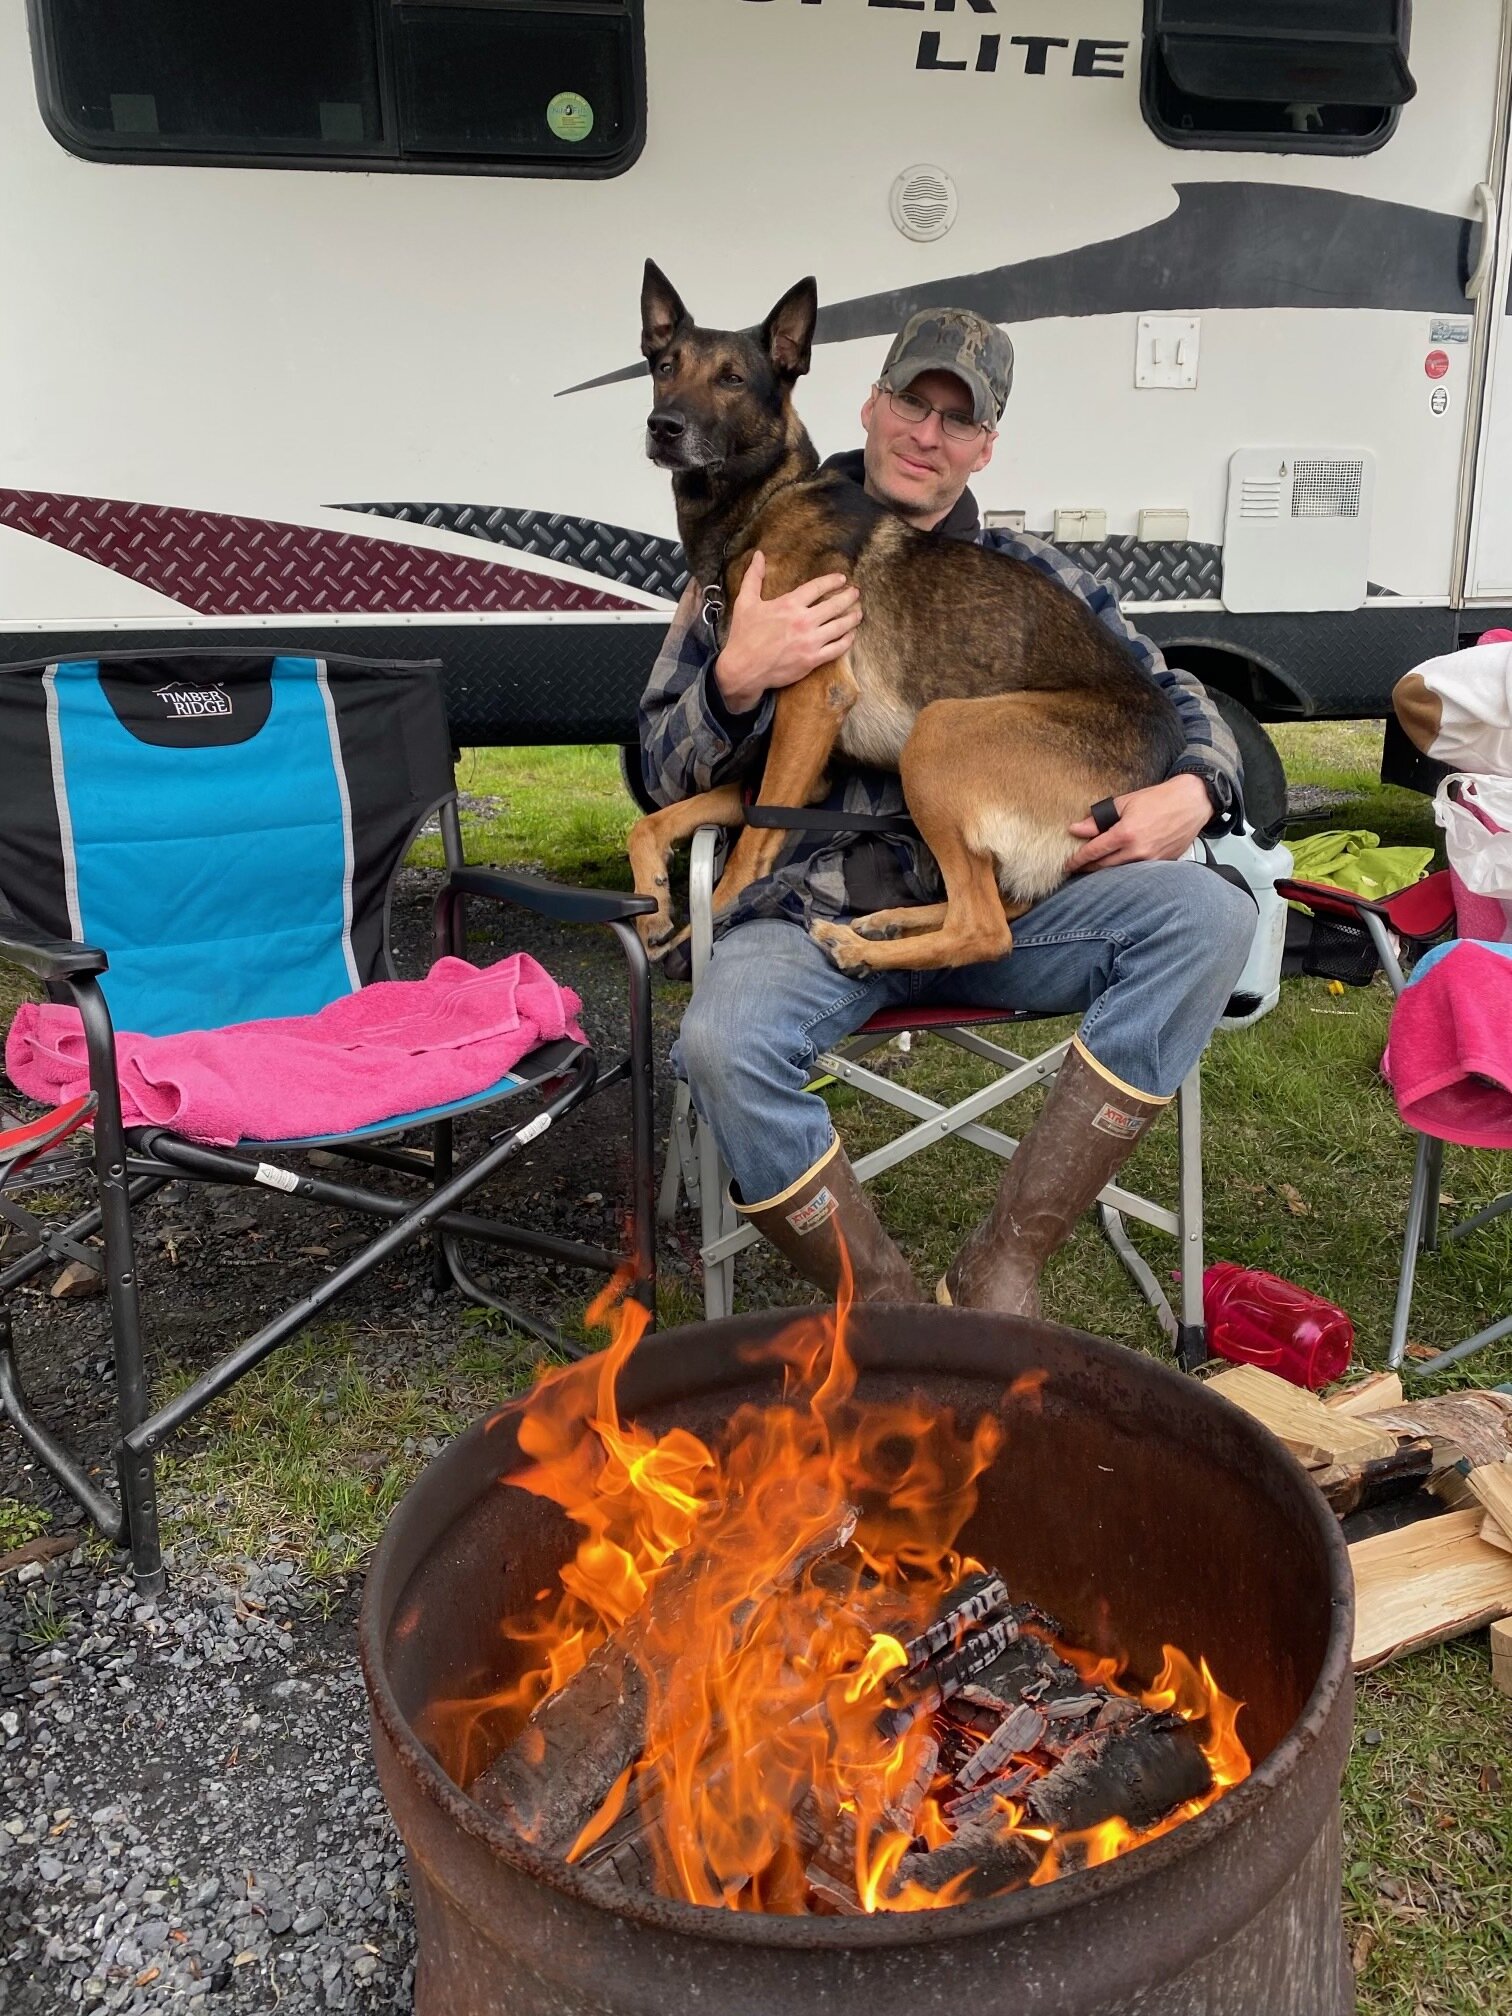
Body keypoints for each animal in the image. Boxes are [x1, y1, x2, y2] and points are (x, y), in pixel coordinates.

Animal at [628, 262, 1185, 975]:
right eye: (666, 366)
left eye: (731, 379)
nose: (663, 425)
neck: (765, 501)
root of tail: (1159, 759)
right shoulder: (799, 769)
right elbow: (648, 821)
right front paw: (655, 907)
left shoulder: (813, 702)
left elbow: (747, 853)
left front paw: (707, 923)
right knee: (1001, 906)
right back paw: (886, 923)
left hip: (938, 732)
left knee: (986, 928)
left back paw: (855, 943)